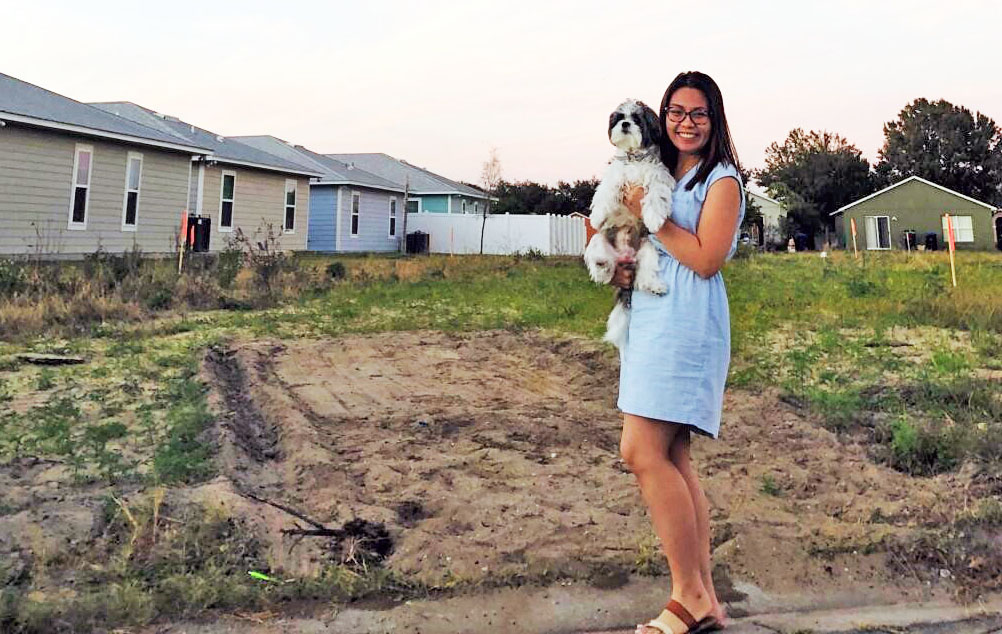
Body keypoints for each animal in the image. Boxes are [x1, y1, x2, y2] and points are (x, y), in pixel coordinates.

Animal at [585, 96, 677, 348]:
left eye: (636, 118)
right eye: (619, 118)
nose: (625, 124)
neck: (635, 157)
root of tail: (624, 256)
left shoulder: (658, 175)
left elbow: (656, 194)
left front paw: (654, 218)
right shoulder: (616, 174)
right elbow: (608, 189)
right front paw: (597, 215)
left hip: (647, 248)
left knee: (645, 273)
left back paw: (654, 286)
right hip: (599, 240)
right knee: (602, 266)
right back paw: (601, 265)